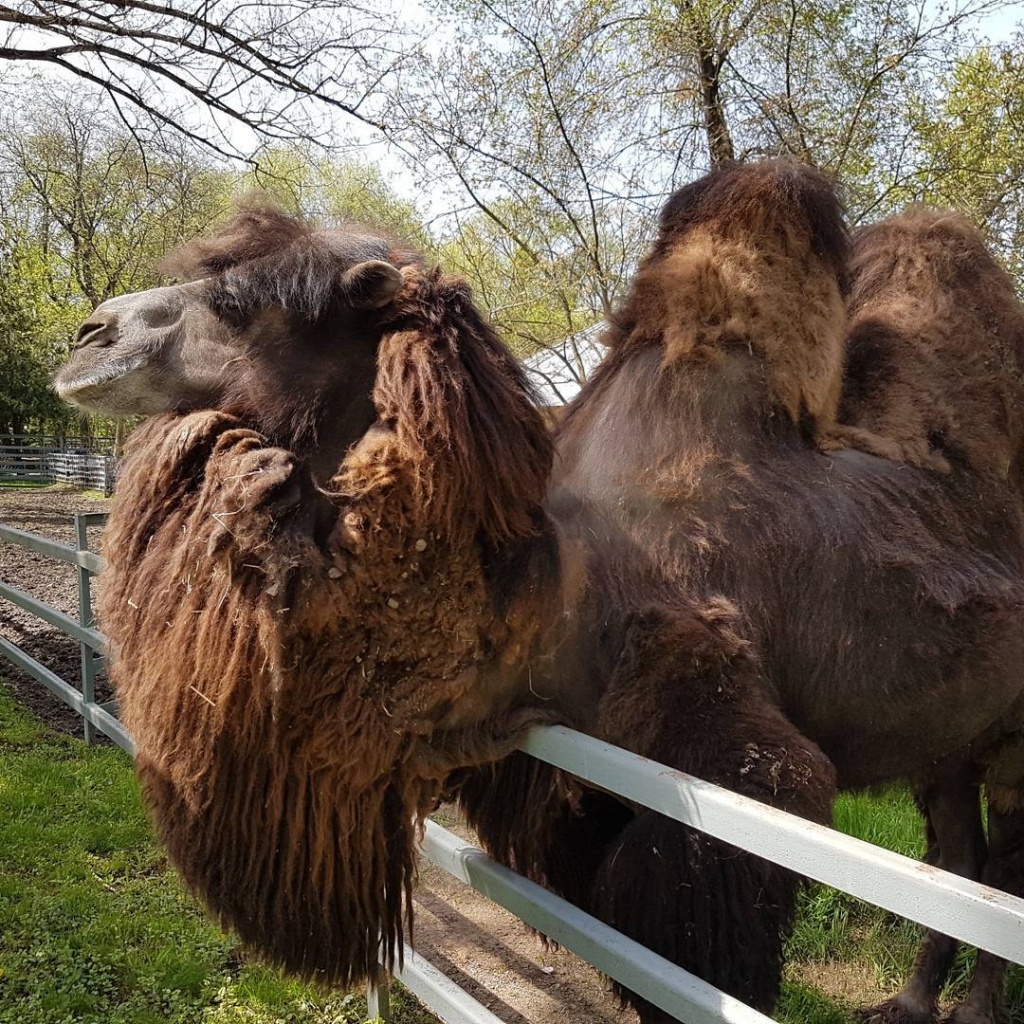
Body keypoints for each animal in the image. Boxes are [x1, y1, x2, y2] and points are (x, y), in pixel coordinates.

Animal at [54, 167, 1024, 1024]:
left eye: (243, 303)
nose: (88, 335)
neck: (550, 586)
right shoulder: (558, 782)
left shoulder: (726, 748)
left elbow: (695, 941)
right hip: (944, 739)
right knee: (954, 851)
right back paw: (909, 1001)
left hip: (1011, 738)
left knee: (997, 864)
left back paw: (973, 1008)